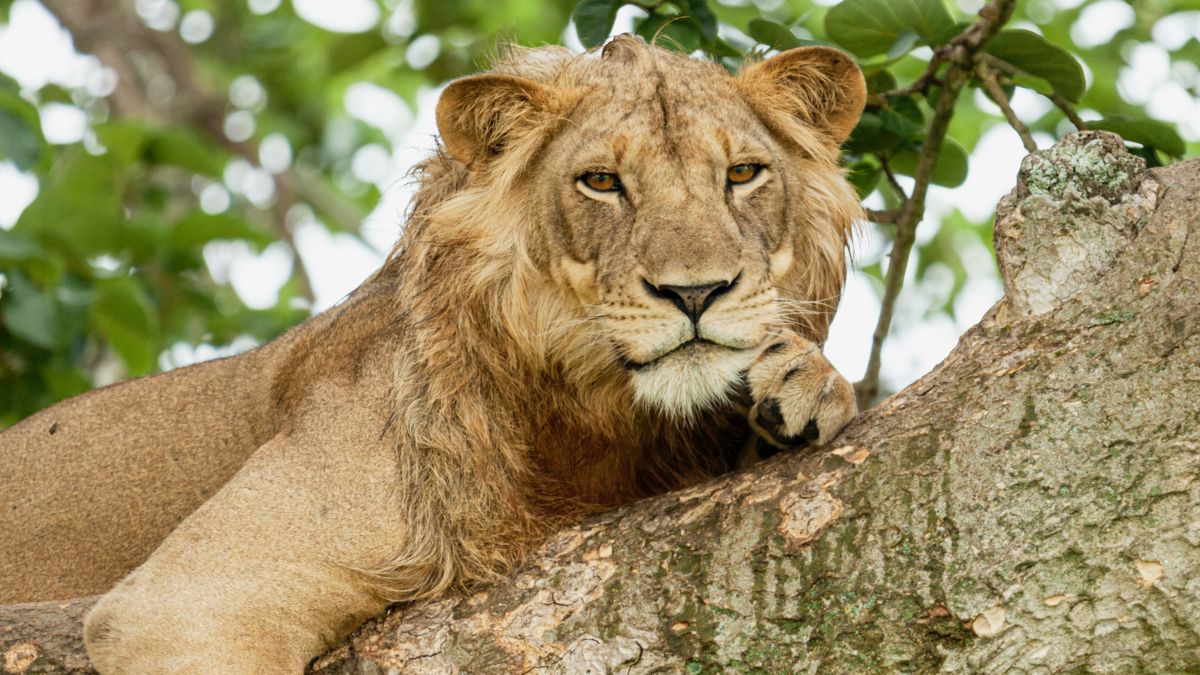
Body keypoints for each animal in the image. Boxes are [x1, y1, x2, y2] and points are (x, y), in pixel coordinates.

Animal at [0, 35, 864, 667]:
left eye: (744, 173)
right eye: (600, 181)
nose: (696, 292)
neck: (598, 425)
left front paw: (809, 382)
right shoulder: (186, 605)